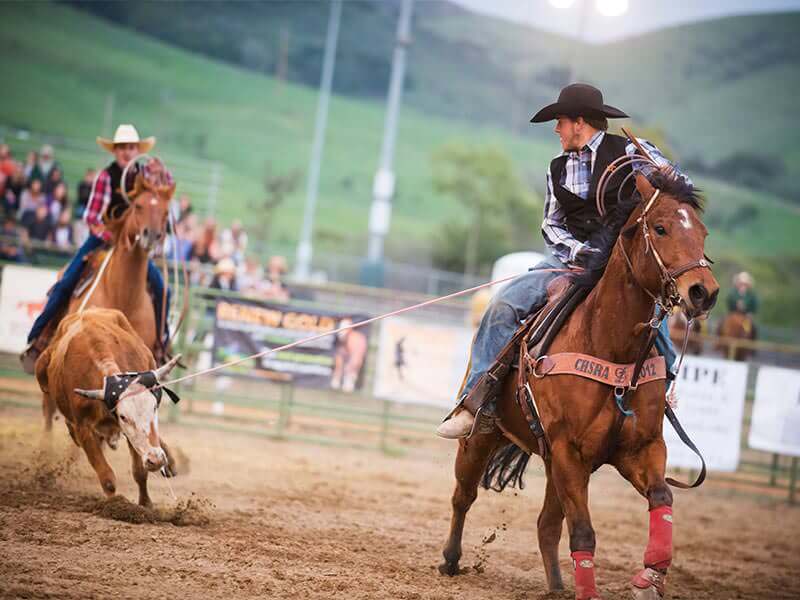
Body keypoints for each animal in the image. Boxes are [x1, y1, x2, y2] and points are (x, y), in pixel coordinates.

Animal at [440, 171, 720, 596]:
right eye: (660, 227)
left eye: (702, 232)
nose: (704, 292)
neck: (611, 346)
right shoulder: (569, 451)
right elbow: (584, 532)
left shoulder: (640, 449)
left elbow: (662, 496)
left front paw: (650, 576)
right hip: (484, 439)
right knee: (464, 495)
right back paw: (451, 559)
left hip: (554, 464)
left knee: (546, 525)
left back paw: (557, 586)